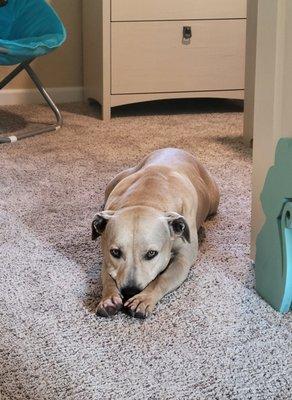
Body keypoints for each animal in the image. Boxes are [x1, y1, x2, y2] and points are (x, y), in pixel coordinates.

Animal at [92, 147, 219, 318]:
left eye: (151, 254)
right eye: (115, 252)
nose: (130, 291)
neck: (146, 199)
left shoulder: (182, 260)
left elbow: (161, 279)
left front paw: (143, 299)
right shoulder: (107, 258)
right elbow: (108, 277)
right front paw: (109, 298)